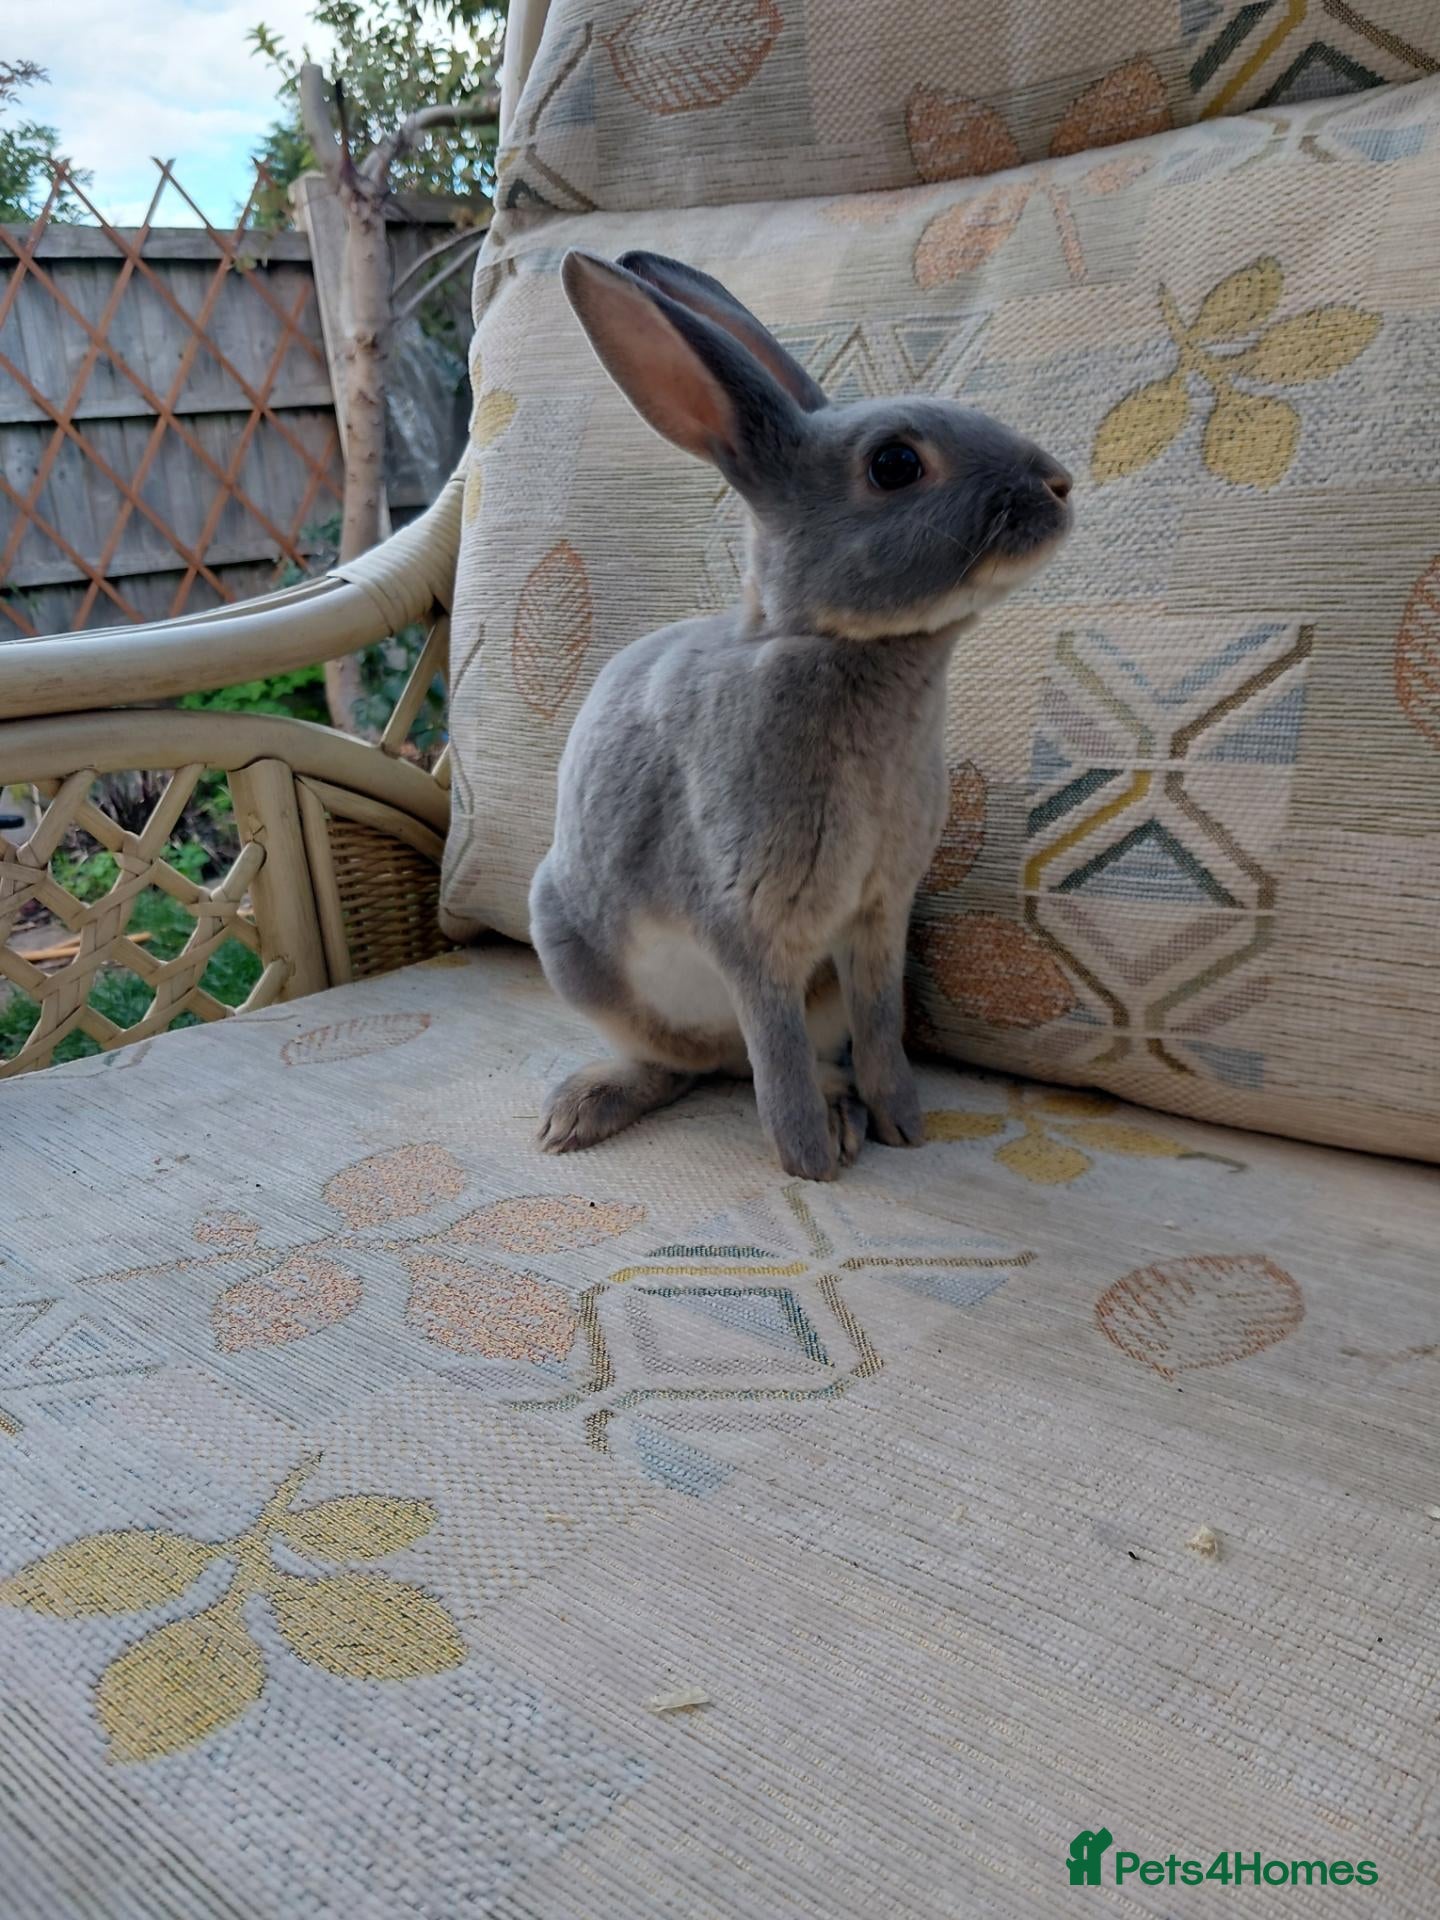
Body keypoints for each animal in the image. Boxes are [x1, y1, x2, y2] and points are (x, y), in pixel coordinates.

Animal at [529, 250, 1072, 1181]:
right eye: (895, 464)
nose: (1061, 484)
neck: (832, 643)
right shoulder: (749, 924)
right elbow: (775, 1053)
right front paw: (808, 1164)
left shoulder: (879, 914)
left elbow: (881, 1031)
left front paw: (901, 1126)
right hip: (575, 949)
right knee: (682, 1063)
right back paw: (584, 1111)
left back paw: (842, 1111)